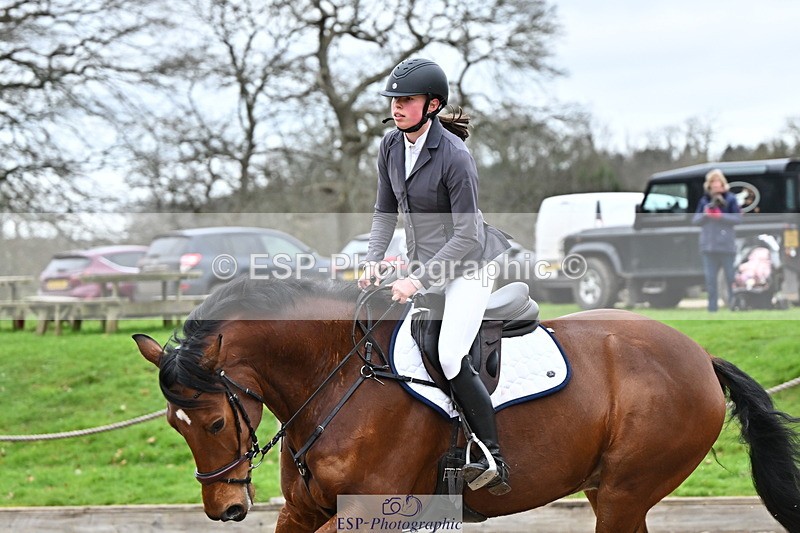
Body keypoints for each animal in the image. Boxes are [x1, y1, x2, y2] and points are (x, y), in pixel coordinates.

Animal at [134, 276, 800, 532]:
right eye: (175, 425)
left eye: (215, 421)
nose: (225, 508)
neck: (335, 375)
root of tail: (699, 355)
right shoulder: (303, 510)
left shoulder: (371, 512)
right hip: (614, 493)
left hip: (623, 493)